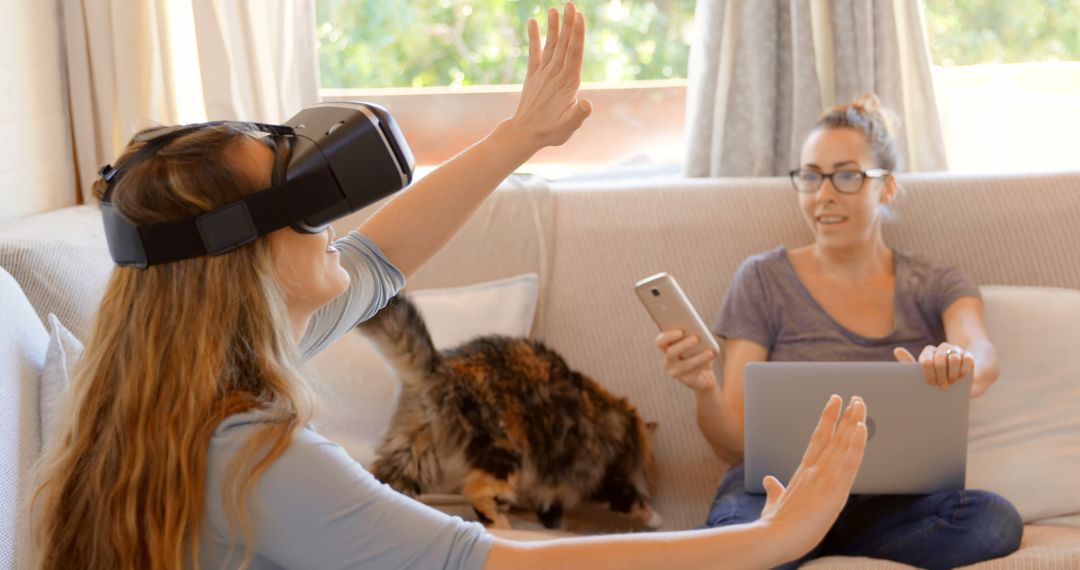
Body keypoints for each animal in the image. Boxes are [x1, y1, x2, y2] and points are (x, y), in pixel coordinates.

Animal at [360, 293, 656, 528]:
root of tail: (440, 368)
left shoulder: (553, 483)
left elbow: (550, 504)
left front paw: (552, 523)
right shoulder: (609, 475)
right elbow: (635, 503)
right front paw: (655, 520)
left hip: (412, 453)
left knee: (383, 483)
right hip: (504, 452)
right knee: (477, 491)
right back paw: (500, 523)